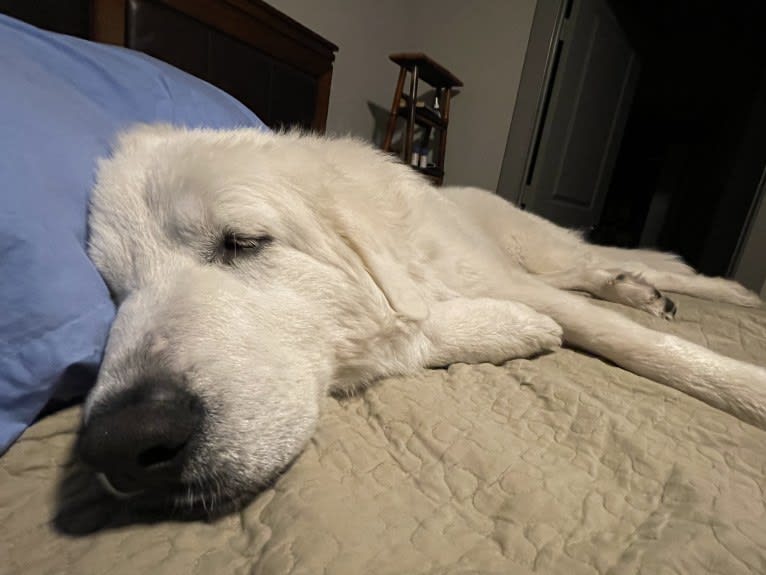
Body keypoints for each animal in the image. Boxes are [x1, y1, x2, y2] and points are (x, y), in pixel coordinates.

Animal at [79, 125, 766, 508]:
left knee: (621, 263)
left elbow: (635, 345)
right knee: (596, 271)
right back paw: (637, 288)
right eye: (114, 290)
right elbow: (416, 332)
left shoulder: (498, 281)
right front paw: (513, 328)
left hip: (539, 251)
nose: (121, 443)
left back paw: (718, 291)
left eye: (243, 243)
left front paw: (745, 387)